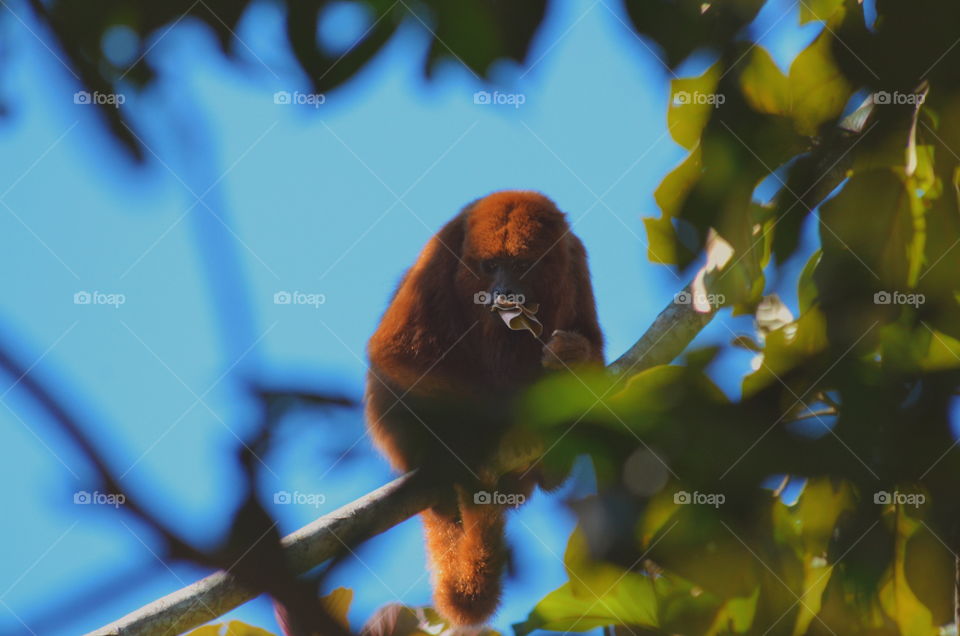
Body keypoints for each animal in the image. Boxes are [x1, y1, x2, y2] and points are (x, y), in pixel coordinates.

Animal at [365, 190, 604, 625]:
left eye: (522, 266)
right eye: (491, 266)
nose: (503, 292)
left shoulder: (576, 259)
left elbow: (591, 346)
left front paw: (570, 355)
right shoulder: (439, 252)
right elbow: (394, 353)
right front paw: (511, 415)